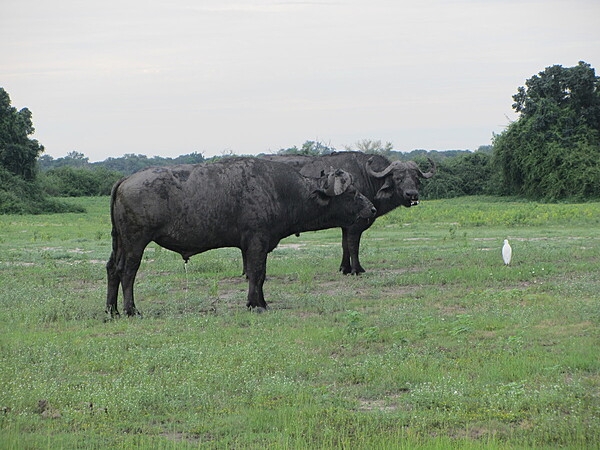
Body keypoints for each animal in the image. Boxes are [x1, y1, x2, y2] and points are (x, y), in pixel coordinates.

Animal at [105, 156, 372, 314]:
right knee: (127, 272)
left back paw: (111, 310)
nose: (371, 208)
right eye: (352, 193)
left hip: (119, 243)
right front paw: (255, 304)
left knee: (112, 269)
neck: (283, 191)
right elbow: (256, 273)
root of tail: (125, 180)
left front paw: (261, 302)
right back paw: (130, 310)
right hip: (135, 242)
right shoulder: (256, 242)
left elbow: (260, 274)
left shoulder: (257, 246)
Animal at [262, 152, 436, 274]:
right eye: (398, 178)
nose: (412, 194)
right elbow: (353, 245)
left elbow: (344, 245)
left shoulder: (345, 226)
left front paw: (344, 269)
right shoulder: (355, 225)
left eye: (416, 179)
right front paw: (357, 269)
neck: (367, 177)